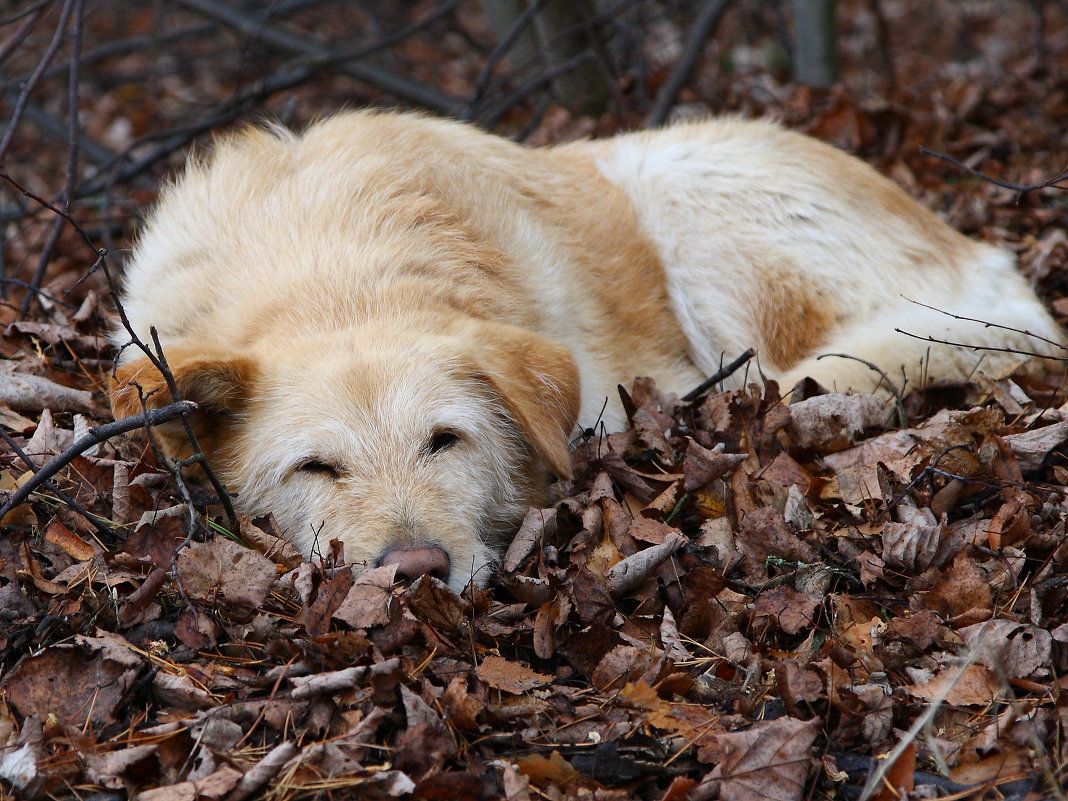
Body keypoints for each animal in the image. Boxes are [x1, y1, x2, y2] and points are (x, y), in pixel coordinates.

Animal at [110, 110, 1068, 589]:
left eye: (445, 441)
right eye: (315, 467)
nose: (414, 570)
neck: (335, 261)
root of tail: (986, 262)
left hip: (684, 202)